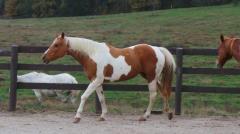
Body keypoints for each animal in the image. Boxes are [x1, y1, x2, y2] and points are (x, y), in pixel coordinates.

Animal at [41, 33, 176, 123]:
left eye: (56, 45)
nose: (44, 57)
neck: (92, 54)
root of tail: (157, 49)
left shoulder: (97, 80)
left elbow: (84, 96)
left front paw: (77, 117)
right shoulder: (96, 82)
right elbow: (101, 98)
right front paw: (102, 116)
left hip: (151, 78)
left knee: (153, 95)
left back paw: (145, 116)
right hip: (152, 77)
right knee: (164, 92)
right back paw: (169, 113)